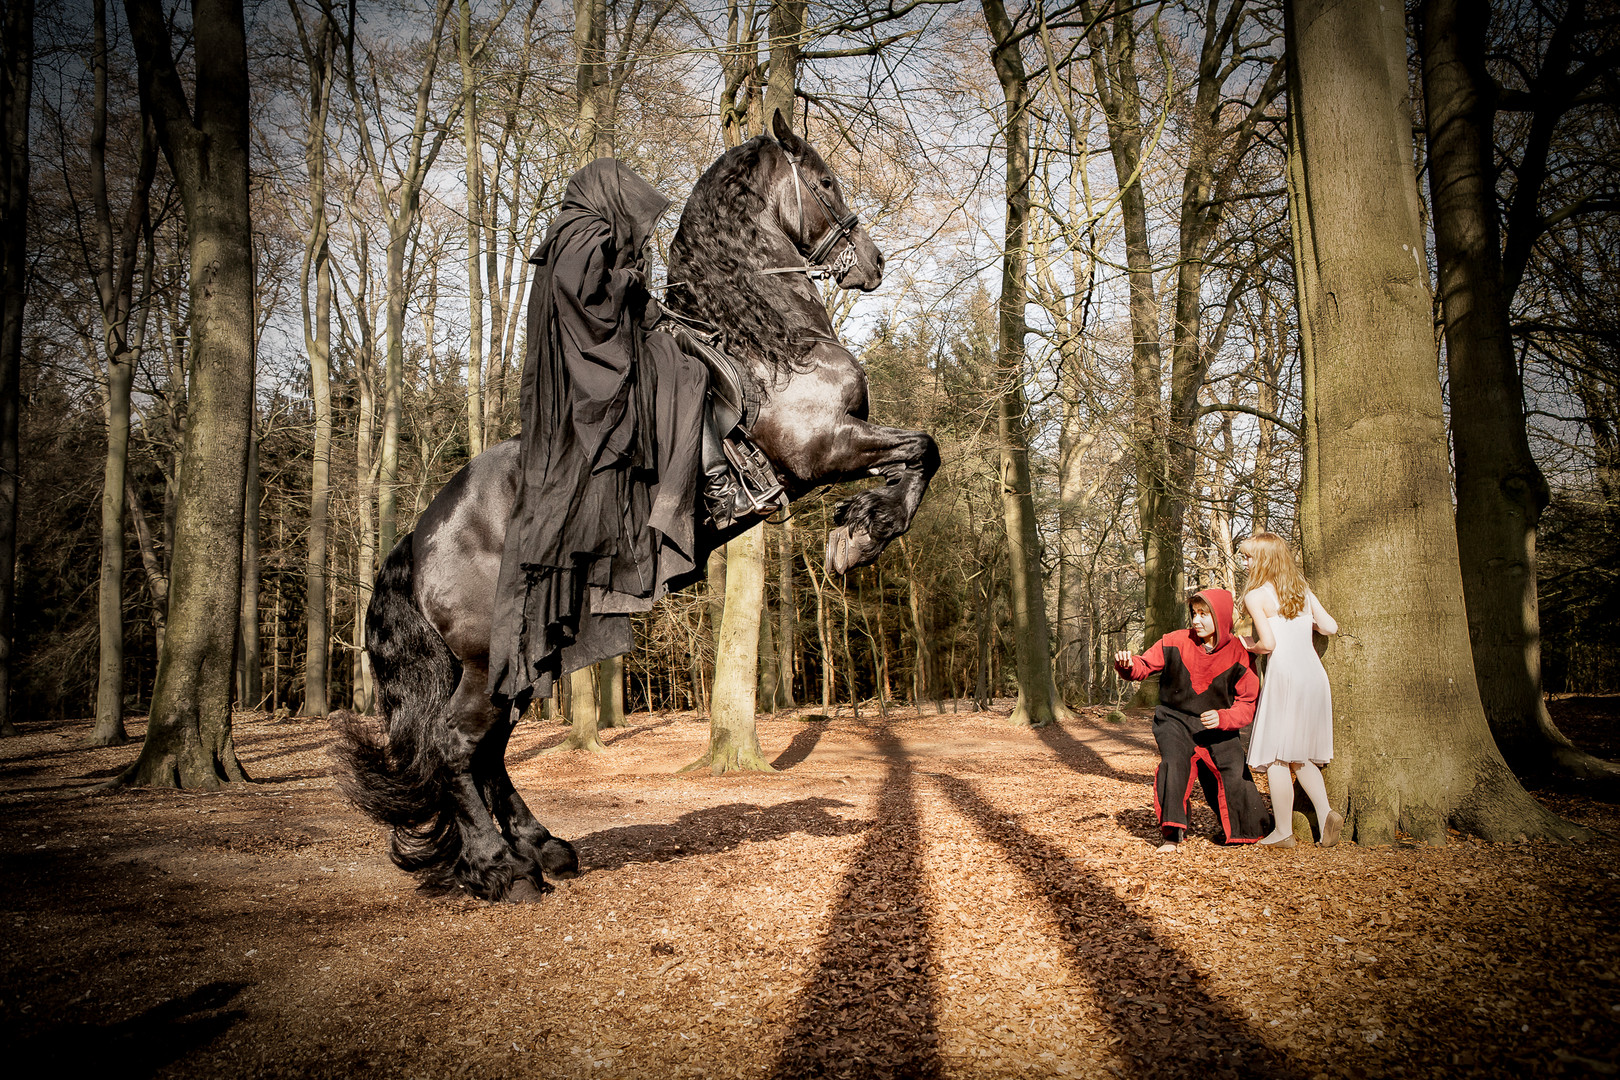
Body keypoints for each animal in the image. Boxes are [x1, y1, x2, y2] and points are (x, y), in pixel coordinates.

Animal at [333, 114, 939, 900]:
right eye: (827, 181)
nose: (872, 262)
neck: (772, 340)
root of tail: (420, 537)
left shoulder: (835, 446)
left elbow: (920, 451)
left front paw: (860, 528)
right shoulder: (822, 446)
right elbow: (924, 447)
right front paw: (862, 535)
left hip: (521, 659)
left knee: (490, 751)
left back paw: (543, 848)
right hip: (485, 656)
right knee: (459, 744)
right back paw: (502, 869)